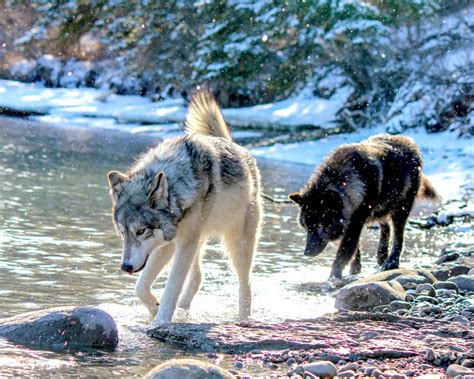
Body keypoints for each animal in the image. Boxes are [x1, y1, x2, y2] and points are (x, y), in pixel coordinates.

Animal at [107, 88, 262, 324]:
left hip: (237, 245)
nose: (125, 267)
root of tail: (237, 147)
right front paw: (153, 308)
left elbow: (171, 289)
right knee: (198, 277)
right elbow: (140, 287)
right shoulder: (170, 242)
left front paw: (159, 323)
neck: (180, 182)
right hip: (198, 241)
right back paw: (184, 310)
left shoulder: (181, 243)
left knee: (246, 284)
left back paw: (243, 319)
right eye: (123, 232)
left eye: (141, 231)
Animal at [290, 134, 438, 280]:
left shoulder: (355, 223)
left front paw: (334, 277)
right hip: (381, 208)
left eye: (321, 225)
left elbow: (344, 253)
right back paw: (381, 256)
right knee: (385, 227)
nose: (307, 253)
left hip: (400, 210)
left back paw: (391, 262)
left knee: (398, 236)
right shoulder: (350, 224)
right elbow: (355, 251)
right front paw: (354, 271)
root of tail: (409, 141)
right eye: (306, 226)